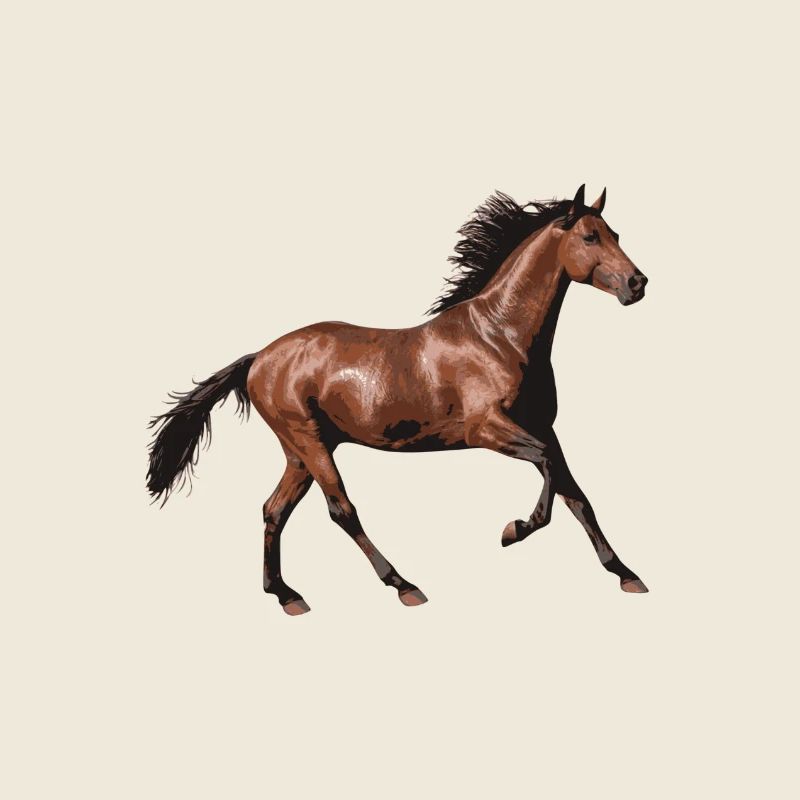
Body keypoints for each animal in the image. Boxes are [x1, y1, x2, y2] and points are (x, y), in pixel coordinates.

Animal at [147, 184, 650, 615]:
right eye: (589, 236)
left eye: (616, 234)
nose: (638, 283)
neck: (499, 337)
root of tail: (258, 358)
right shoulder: (487, 429)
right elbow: (547, 470)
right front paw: (513, 531)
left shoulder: (544, 427)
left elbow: (576, 494)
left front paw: (626, 574)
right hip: (309, 442)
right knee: (341, 510)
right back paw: (404, 585)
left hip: (300, 451)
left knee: (274, 510)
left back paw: (286, 595)